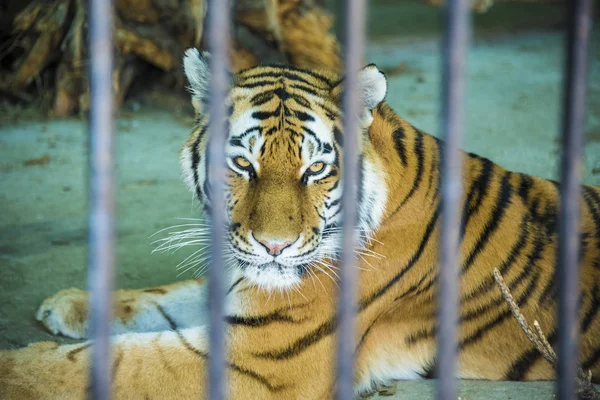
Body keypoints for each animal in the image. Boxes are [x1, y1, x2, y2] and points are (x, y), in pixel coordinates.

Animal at [1, 48, 600, 398]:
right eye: (242, 164)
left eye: (316, 169)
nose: (274, 248)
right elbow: (159, 298)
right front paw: (69, 304)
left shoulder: (260, 358)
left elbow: (107, 363)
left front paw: (15, 369)